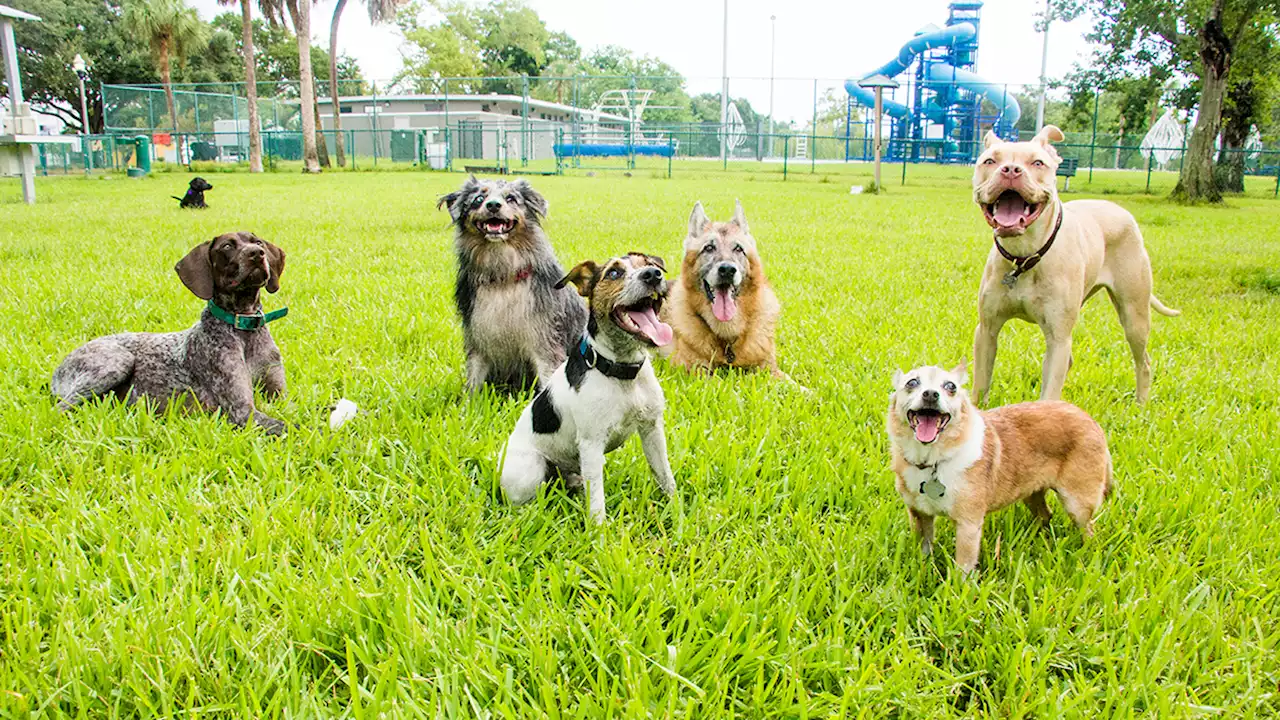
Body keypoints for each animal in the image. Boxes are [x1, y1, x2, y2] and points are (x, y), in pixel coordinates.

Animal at [660, 198, 788, 379]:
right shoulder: (695, 370)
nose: (727, 270)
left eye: (738, 248)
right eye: (708, 248)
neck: (727, 338)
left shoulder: (770, 369)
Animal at [972, 124, 1172, 404]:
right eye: (990, 161)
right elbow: (980, 385)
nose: (1010, 170)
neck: (1025, 257)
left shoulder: (1058, 338)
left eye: (1037, 163)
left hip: (1135, 314)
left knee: (1143, 360)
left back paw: (1141, 405)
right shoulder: (987, 331)